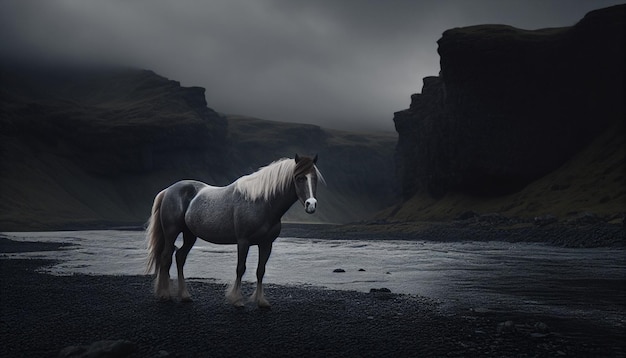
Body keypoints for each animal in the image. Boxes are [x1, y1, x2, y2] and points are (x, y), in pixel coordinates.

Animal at [145, 154, 322, 308]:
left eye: (314, 178)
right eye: (299, 178)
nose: (311, 205)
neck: (261, 202)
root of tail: (168, 190)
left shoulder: (266, 244)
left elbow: (260, 271)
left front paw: (261, 302)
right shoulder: (243, 242)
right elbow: (240, 268)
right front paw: (237, 300)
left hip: (190, 235)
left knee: (180, 257)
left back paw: (185, 296)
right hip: (171, 232)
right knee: (166, 257)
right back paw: (165, 294)